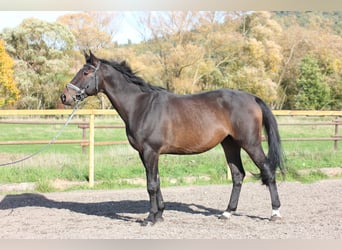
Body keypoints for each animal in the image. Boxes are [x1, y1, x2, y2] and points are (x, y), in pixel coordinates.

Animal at [60, 51, 284, 227]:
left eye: (86, 72)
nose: (65, 97)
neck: (140, 105)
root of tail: (252, 97)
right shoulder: (146, 154)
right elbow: (157, 182)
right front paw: (159, 214)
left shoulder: (150, 152)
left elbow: (151, 184)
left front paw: (150, 218)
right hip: (230, 144)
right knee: (238, 175)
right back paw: (227, 212)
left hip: (250, 143)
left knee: (267, 170)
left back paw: (275, 213)